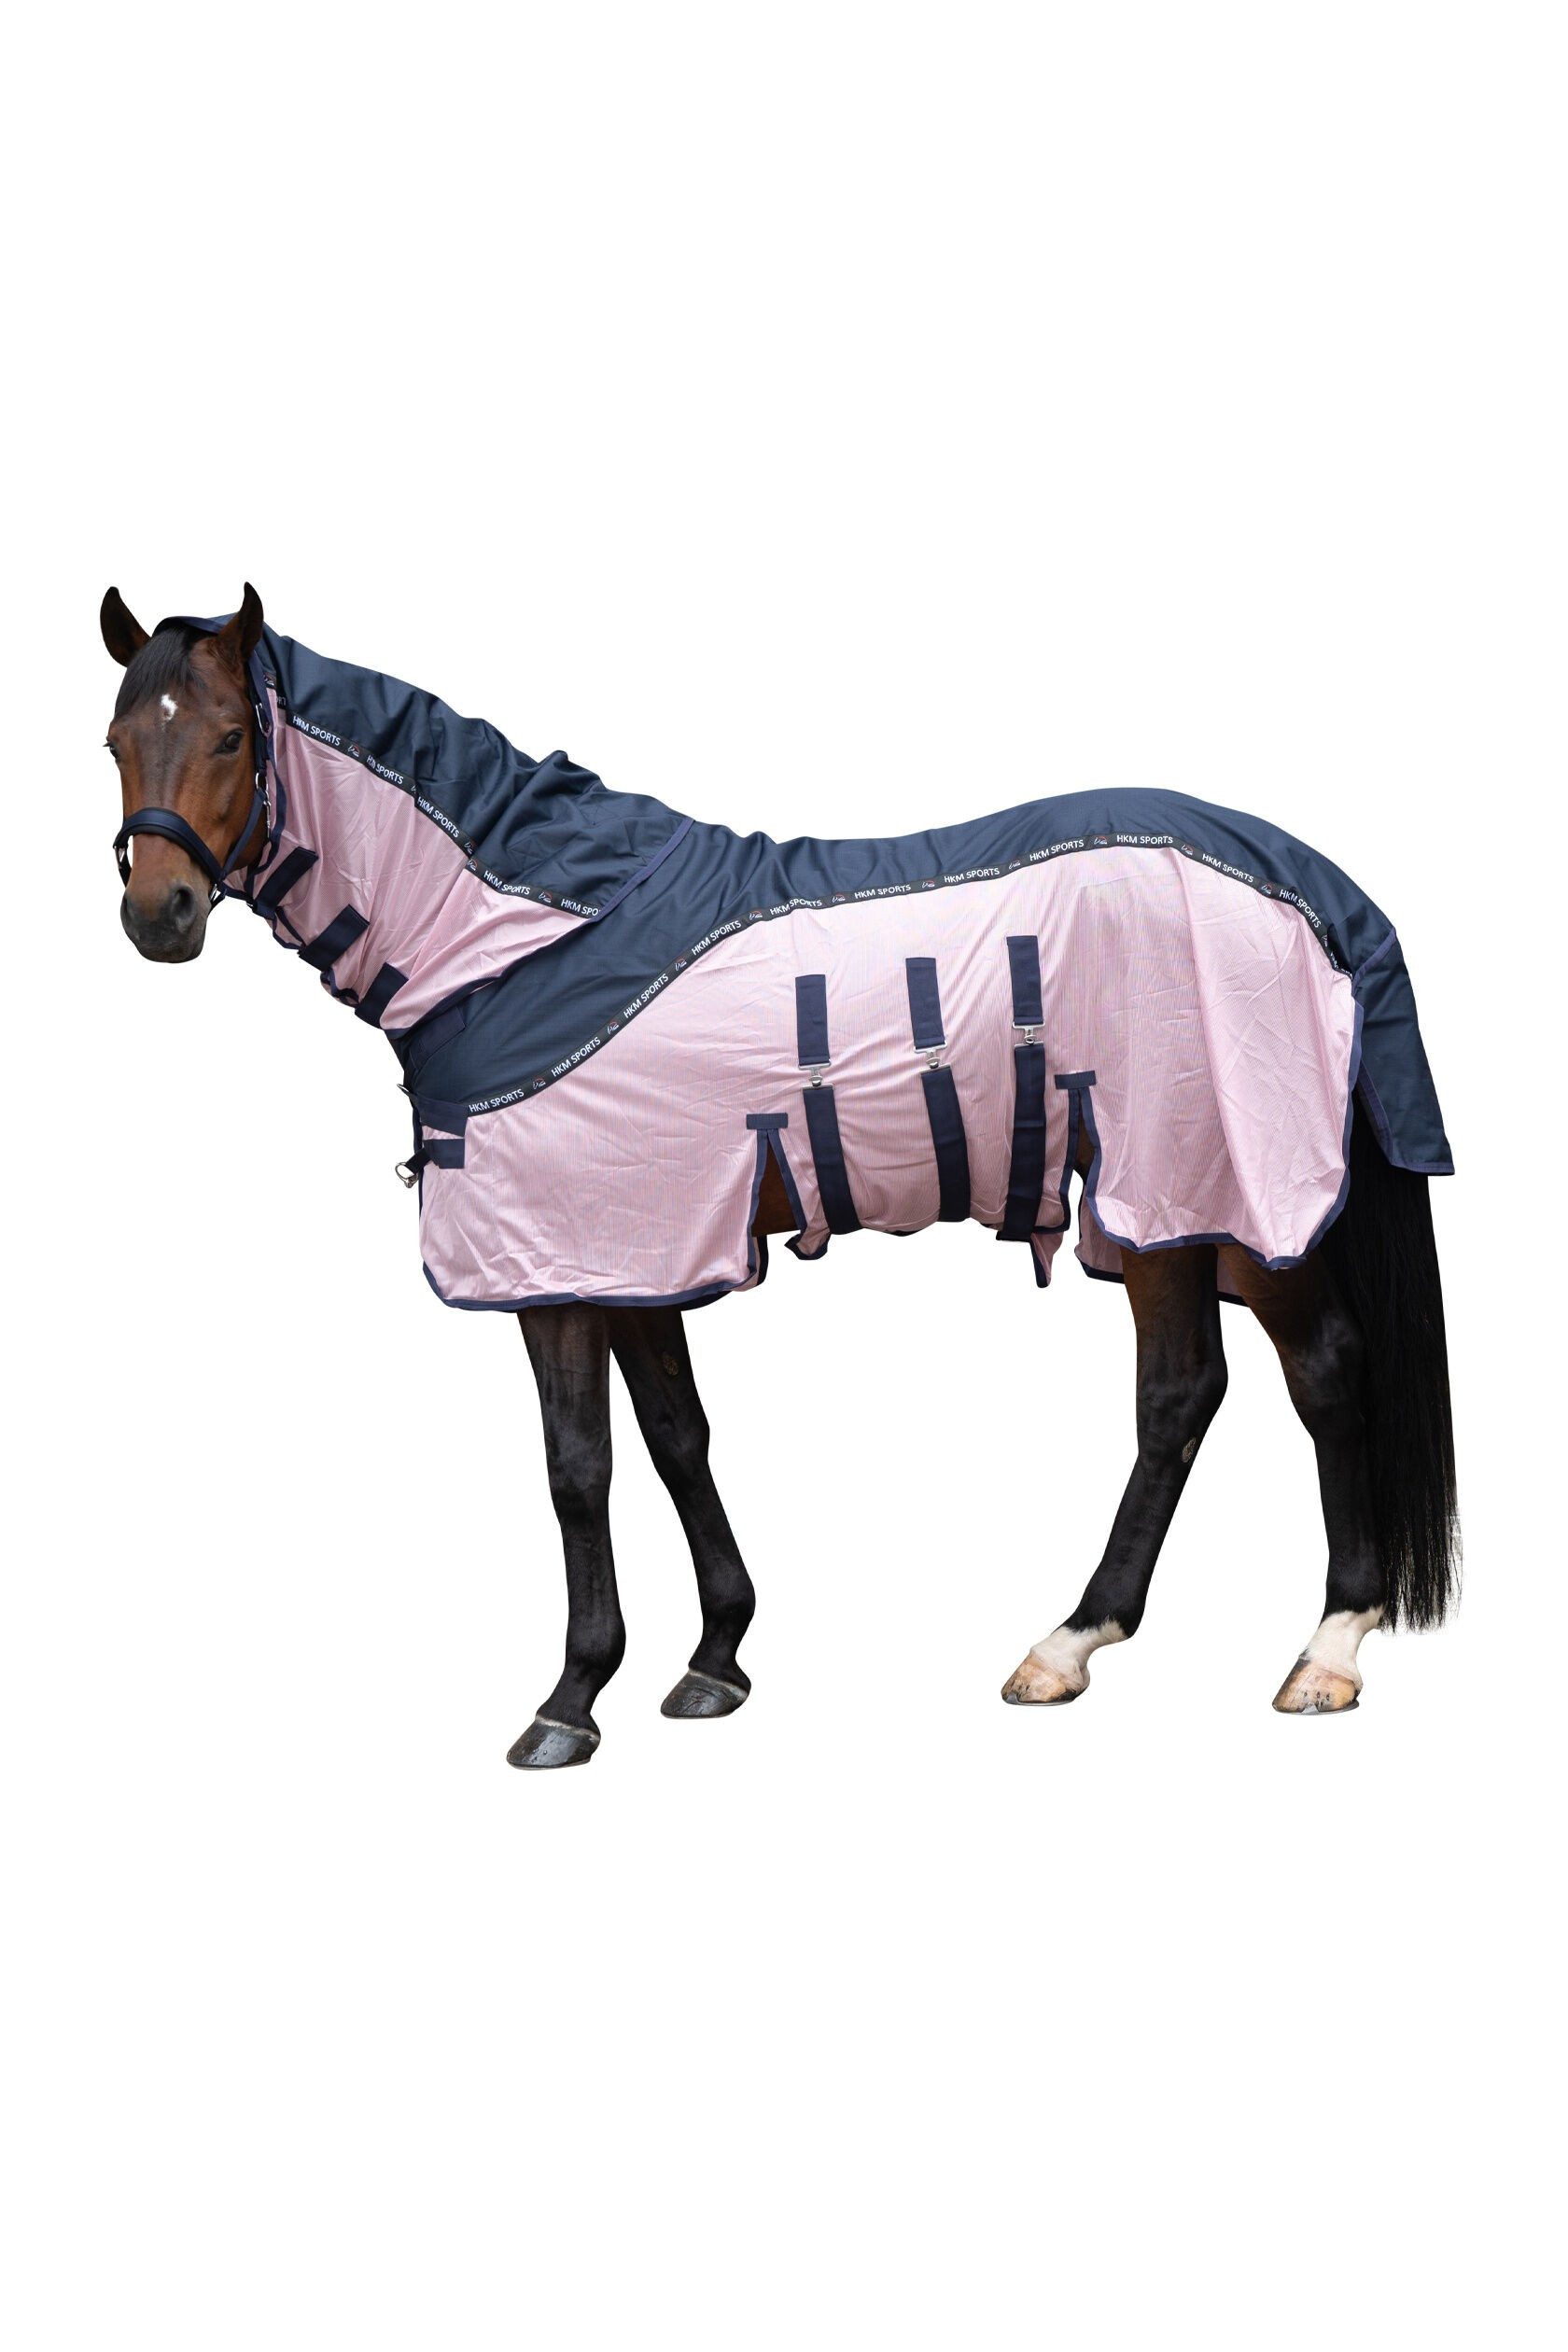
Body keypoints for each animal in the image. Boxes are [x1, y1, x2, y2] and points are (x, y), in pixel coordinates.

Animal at [100, 583, 1459, 1767]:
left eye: (229, 736)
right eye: (115, 738)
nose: (157, 916)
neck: (533, 936)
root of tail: (1316, 885)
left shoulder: (565, 1258)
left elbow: (579, 1466)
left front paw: (571, 1699)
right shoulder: (638, 1252)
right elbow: (676, 1438)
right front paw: (714, 1660)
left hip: (1228, 1188)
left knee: (1323, 1375)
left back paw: (1327, 1649)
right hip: (1165, 1207)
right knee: (1183, 1395)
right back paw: (1072, 1643)